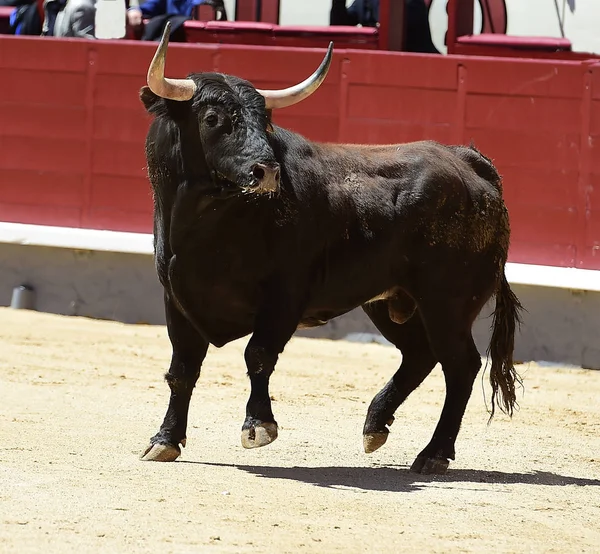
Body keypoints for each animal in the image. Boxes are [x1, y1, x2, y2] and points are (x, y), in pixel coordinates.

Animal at [139, 23, 520, 472]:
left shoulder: (285, 295)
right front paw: (164, 440)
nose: (266, 171)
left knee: (459, 364)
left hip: (447, 302)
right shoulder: (177, 299)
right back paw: (375, 427)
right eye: (213, 118)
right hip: (393, 302)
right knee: (420, 355)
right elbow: (182, 369)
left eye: (266, 120)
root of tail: (468, 162)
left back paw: (433, 454)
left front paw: (258, 427)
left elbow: (258, 354)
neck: (204, 224)